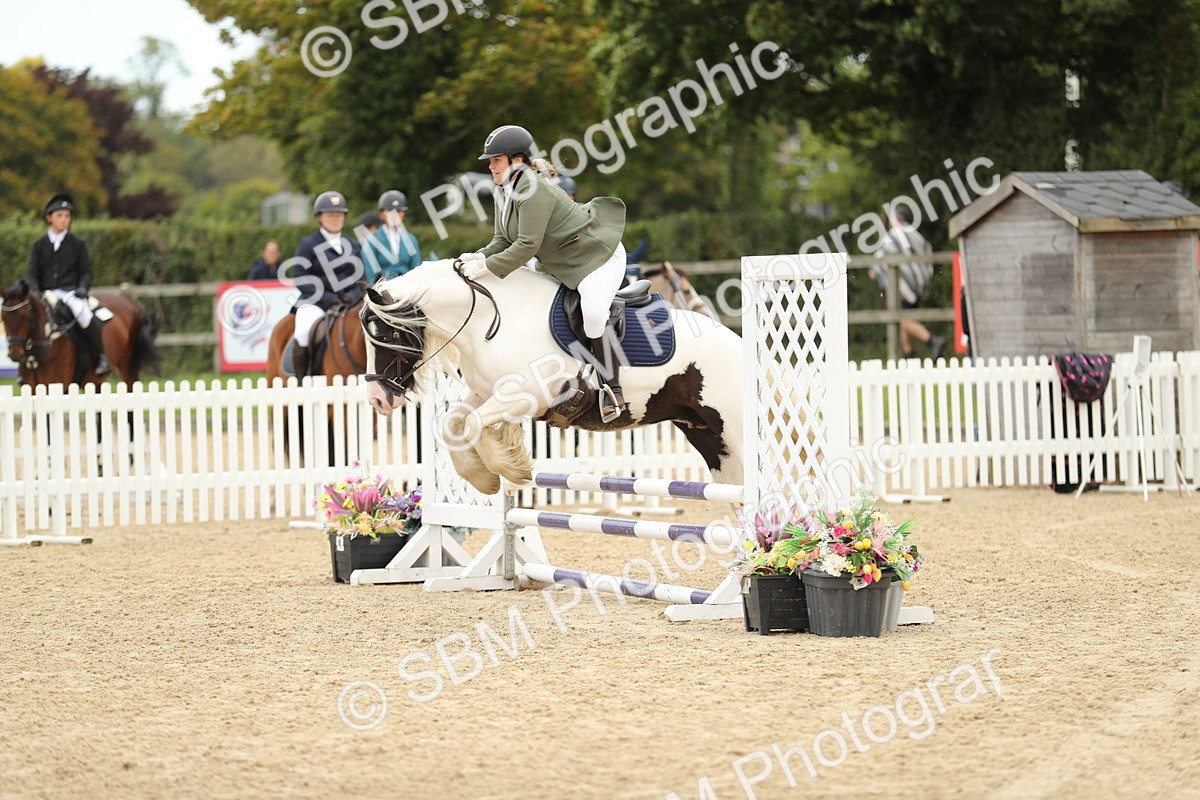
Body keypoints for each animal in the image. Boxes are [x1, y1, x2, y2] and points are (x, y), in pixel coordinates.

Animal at [1, 280, 159, 389]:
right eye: (3, 317)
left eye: (26, 316)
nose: (15, 354)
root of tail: (130, 303)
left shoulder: (57, 385)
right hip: (95, 381)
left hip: (129, 368)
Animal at [359, 259, 743, 496]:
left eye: (391, 333)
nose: (378, 400)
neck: (490, 320)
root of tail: (737, 341)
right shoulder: (485, 394)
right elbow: (453, 424)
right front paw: (485, 478)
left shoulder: (523, 396)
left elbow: (472, 425)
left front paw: (511, 468)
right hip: (706, 436)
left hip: (731, 430)